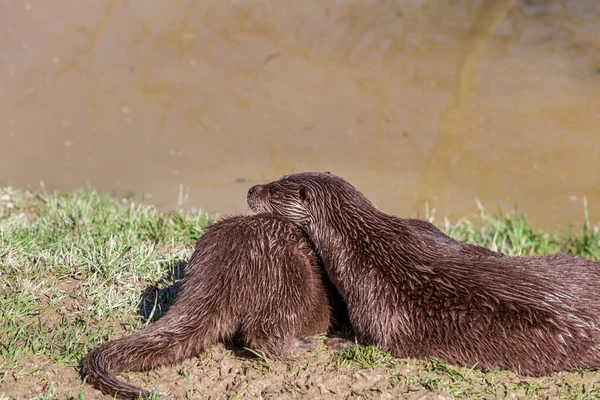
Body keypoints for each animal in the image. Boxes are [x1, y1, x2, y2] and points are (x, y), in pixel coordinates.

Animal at [246, 171, 600, 376]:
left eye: (273, 191)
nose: (250, 188)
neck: (360, 245)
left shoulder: (372, 291)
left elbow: (375, 337)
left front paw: (338, 342)